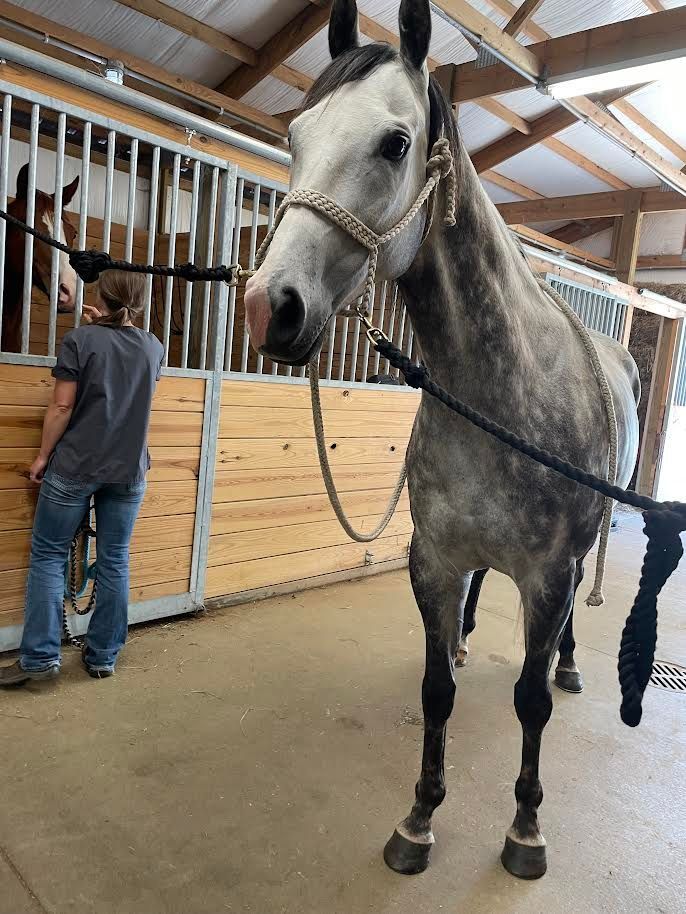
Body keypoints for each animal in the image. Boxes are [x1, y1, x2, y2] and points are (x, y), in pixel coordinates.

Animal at [244, 0, 640, 880]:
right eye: (295, 134)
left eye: (395, 143)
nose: (268, 307)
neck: (501, 388)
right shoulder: (432, 560)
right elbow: (435, 695)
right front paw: (419, 818)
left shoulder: (548, 575)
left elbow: (529, 700)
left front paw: (524, 830)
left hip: (578, 552)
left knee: (564, 629)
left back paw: (567, 665)